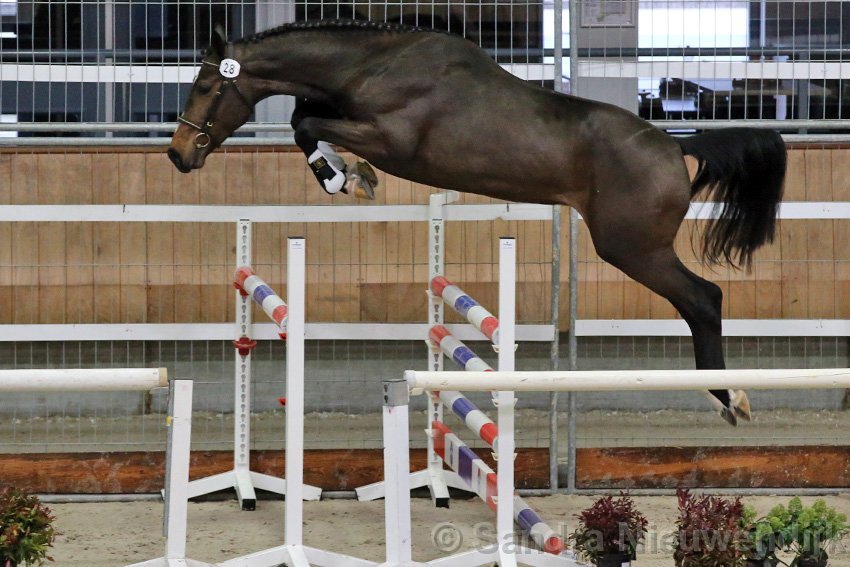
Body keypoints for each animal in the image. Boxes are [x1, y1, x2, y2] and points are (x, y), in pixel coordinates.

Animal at [167, 19, 787, 426]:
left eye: (206, 86)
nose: (177, 154)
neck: (373, 65)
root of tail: (675, 146)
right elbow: (304, 116)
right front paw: (348, 175)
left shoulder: (394, 140)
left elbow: (306, 122)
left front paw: (346, 176)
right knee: (699, 300)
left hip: (632, 247)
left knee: (703, 299)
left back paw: (729, 397)